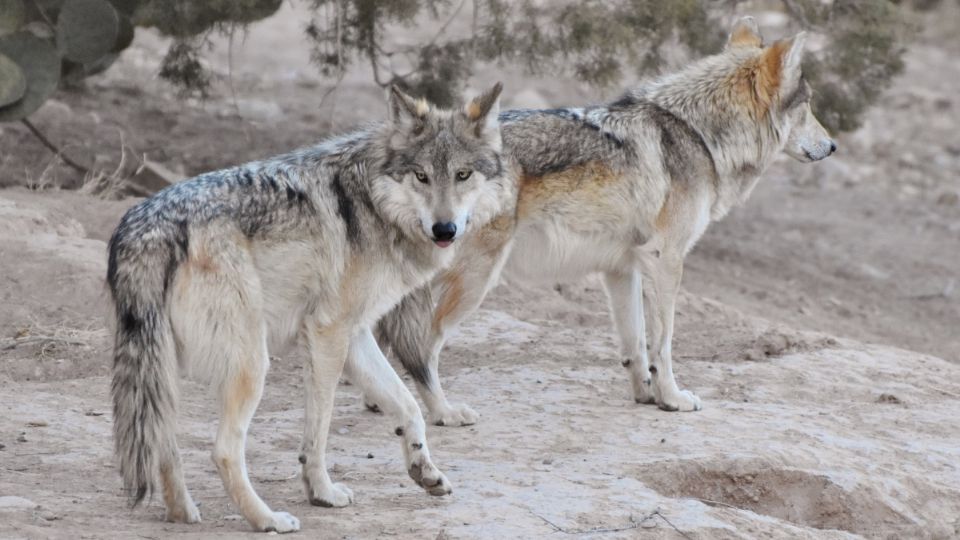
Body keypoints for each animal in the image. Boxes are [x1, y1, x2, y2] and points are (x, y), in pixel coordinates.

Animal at [107, 83, 511, 533]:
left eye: (462, 175)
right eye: (421, 176)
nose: (445, 229)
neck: (372, 203)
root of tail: (149, 226)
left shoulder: (356, 334)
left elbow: (408, 406)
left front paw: (425, 472)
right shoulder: (326, 332)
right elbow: (319, 429)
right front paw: (322, 493)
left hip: (165, 370)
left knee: (164, 442)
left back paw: (183, 512)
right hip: (251, 364)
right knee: (224, 450)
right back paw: (267, 519)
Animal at [365, 18, 836, 426]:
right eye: (809, 105)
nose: (832, 146)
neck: (698, 133)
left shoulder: (622, 267)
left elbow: (636, 343)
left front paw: (646, 394)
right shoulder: (666, 259)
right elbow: (664, 343)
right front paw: (672, 398)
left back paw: (379, 401)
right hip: (474, 280)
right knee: (420, 348)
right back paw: (443, 413)